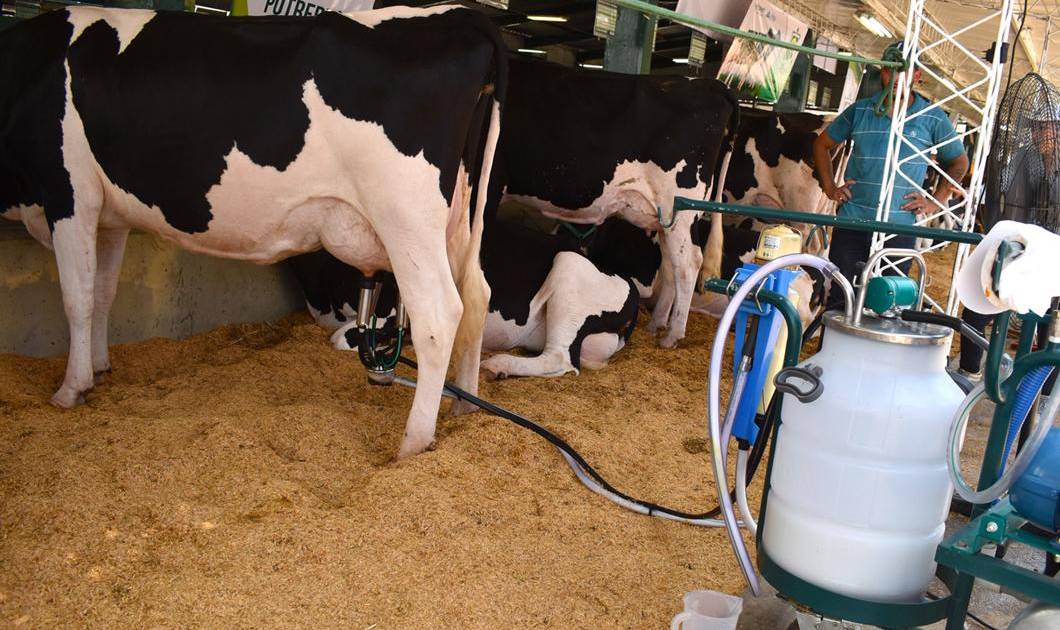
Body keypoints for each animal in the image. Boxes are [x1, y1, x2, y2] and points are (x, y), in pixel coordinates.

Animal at [0, 6, 507, 459]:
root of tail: (462, 15)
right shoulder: (111, 216)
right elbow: (104, 292)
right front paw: (101, 367)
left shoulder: (69, 192)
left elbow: (77, 297)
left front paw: (72, 388)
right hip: (458, 218)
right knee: (477, 294)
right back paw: (464, 408)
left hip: (405, 215)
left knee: (439, 312)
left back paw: (413, 442)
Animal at [492, 57, 739, 349]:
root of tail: (712, 84)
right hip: (665, 217)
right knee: (671, 264)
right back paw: (657, 324)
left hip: (680, 208)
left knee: (688, 264)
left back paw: (673, 335)